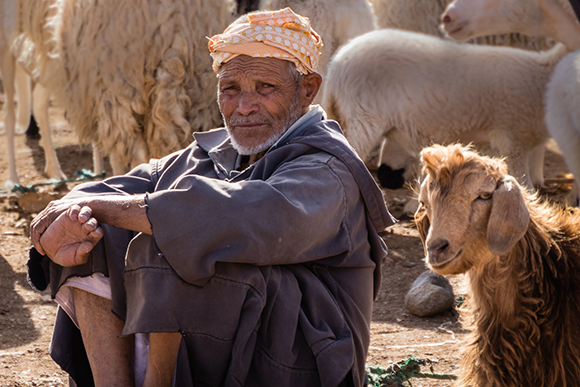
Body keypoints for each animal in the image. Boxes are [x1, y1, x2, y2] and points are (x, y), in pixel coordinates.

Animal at [322, 28, 572, 190]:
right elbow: (524, 186)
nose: (386, 176)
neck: (541, 73)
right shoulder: (513, 141)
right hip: (363, 118)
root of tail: (337, 66)